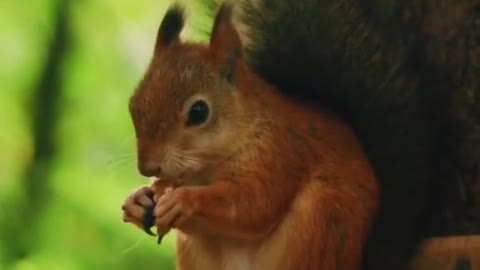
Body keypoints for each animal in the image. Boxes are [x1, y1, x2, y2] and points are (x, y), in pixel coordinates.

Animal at [121, 0, 446, 270]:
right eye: (133, 104)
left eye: (199, 111)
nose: (147, 167)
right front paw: (139, 199)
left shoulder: (282, 153)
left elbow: (256, 203)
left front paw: (185, 200)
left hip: (322, 218)